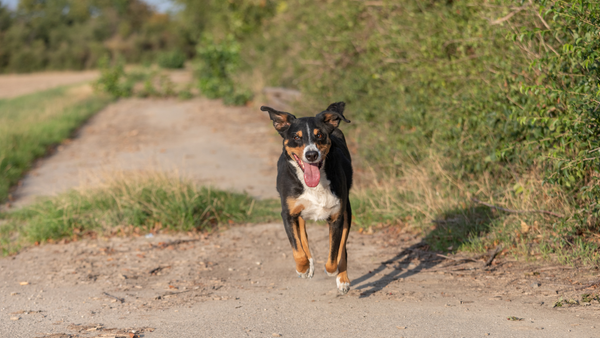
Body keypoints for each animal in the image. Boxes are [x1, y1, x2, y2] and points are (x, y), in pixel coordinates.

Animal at [262, 101, 354, 294]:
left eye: (319, 135)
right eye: (296, 137)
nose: (311, 154)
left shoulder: (337, 217)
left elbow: (335, 253)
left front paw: (333, 272)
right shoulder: (288, 214)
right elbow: (297, 248)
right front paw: (303, 268)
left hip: (347, 211)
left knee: (342, 248)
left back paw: (343, 279)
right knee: (302, 234)